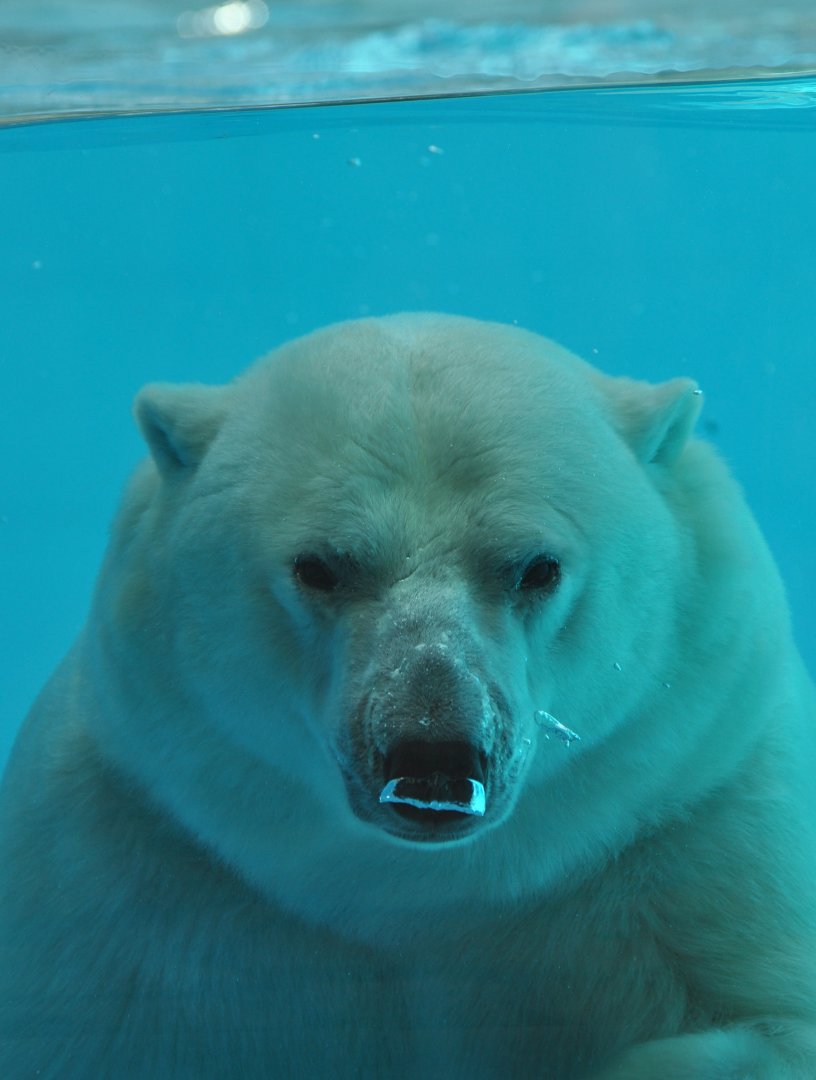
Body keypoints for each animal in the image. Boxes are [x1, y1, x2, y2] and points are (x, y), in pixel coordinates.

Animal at [1, 312, 815, 1080]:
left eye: (537, 567)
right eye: (318, 566)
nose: (434, 754)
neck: (418, 901)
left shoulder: (704, 823)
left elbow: (765, 1024)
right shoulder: (126, 872)